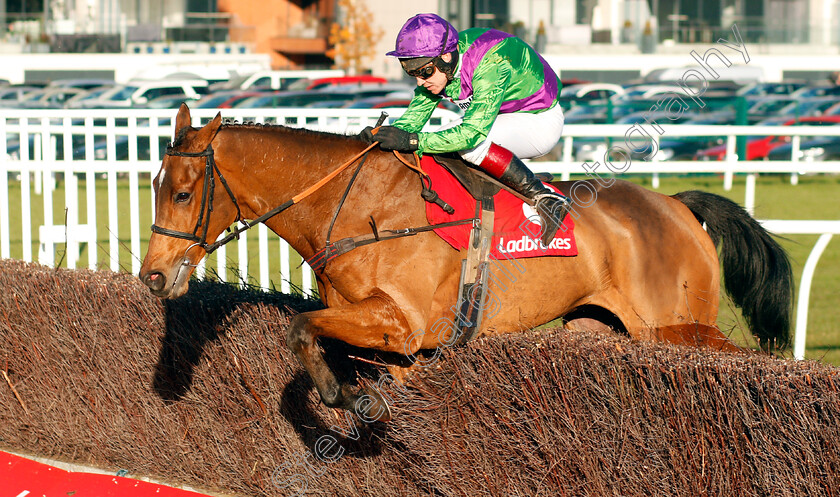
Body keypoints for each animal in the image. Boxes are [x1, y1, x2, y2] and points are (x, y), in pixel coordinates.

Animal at [139, 104, 796, 418]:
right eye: (152, 184)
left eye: (183, 193)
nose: (153, 275)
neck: (351, 203)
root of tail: (677, 205)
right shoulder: (395, 341)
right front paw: (361, 402)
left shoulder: (402, 323)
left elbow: (299, 329)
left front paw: (338, 397)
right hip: (600, 328)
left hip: (678, 325)